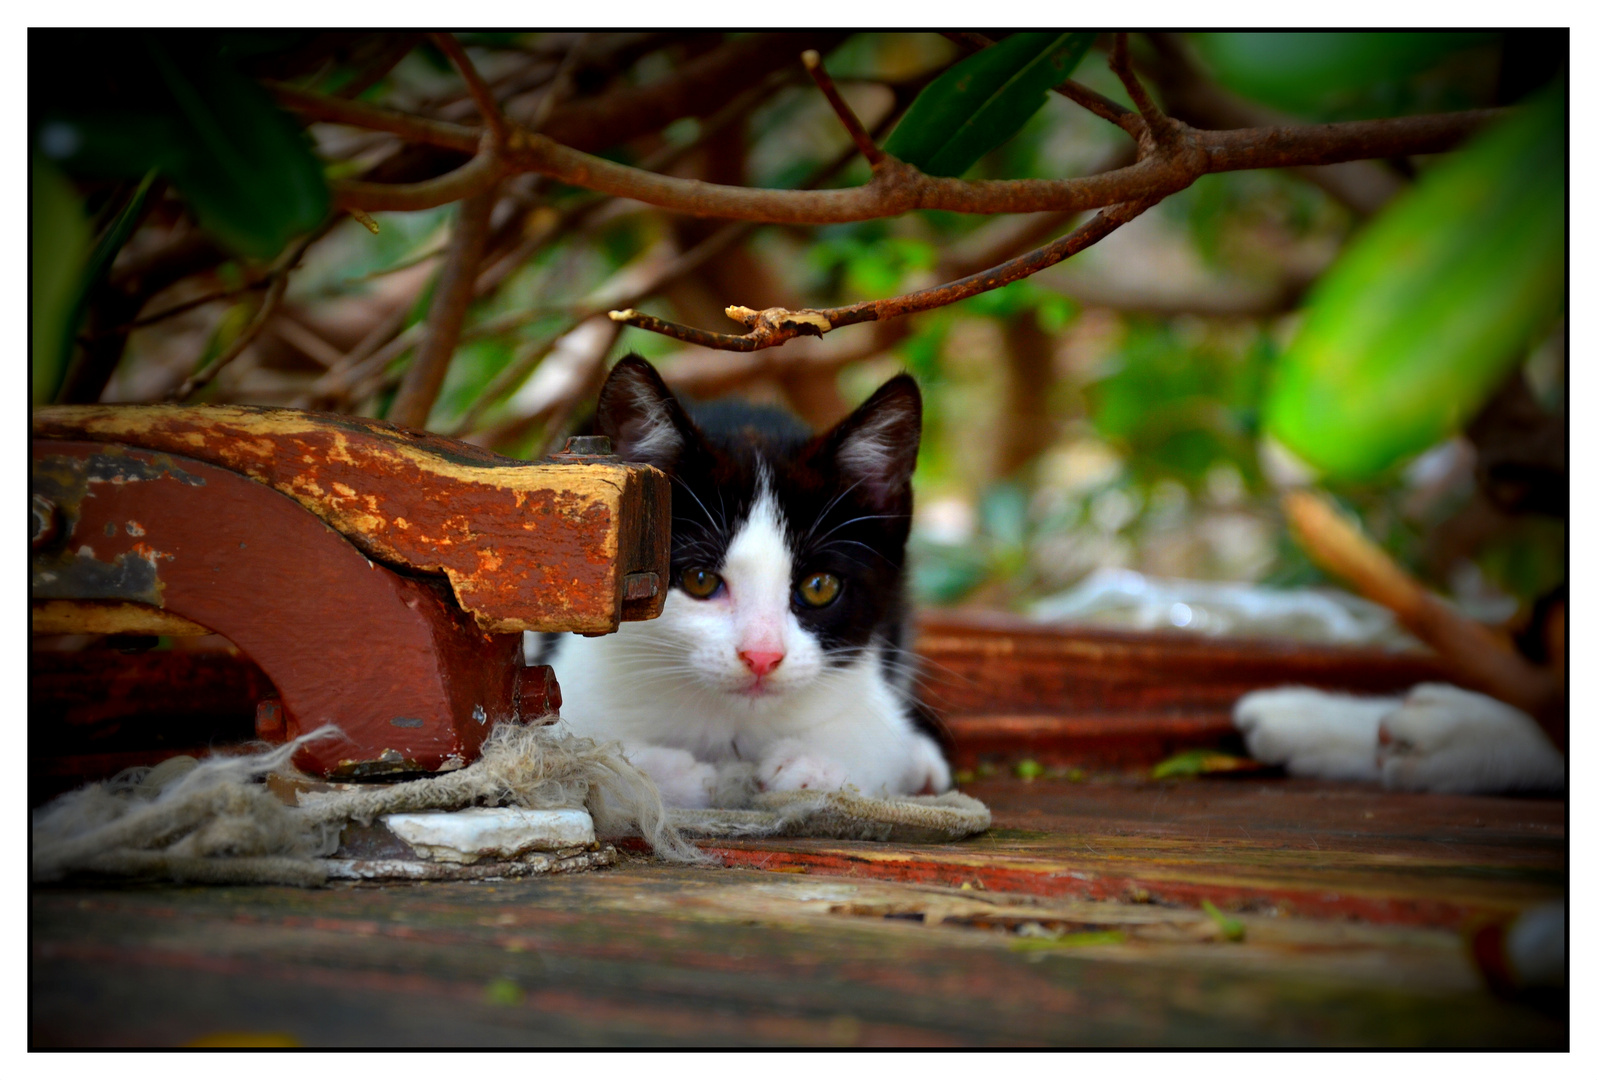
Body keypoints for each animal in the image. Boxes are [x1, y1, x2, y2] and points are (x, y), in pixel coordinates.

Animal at [530, 357, 945, 805]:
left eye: (819, 587)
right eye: (699, 580)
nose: (762, 657)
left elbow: (879, 741)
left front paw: (811, 766)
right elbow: (590, 752)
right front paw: (680, 774)